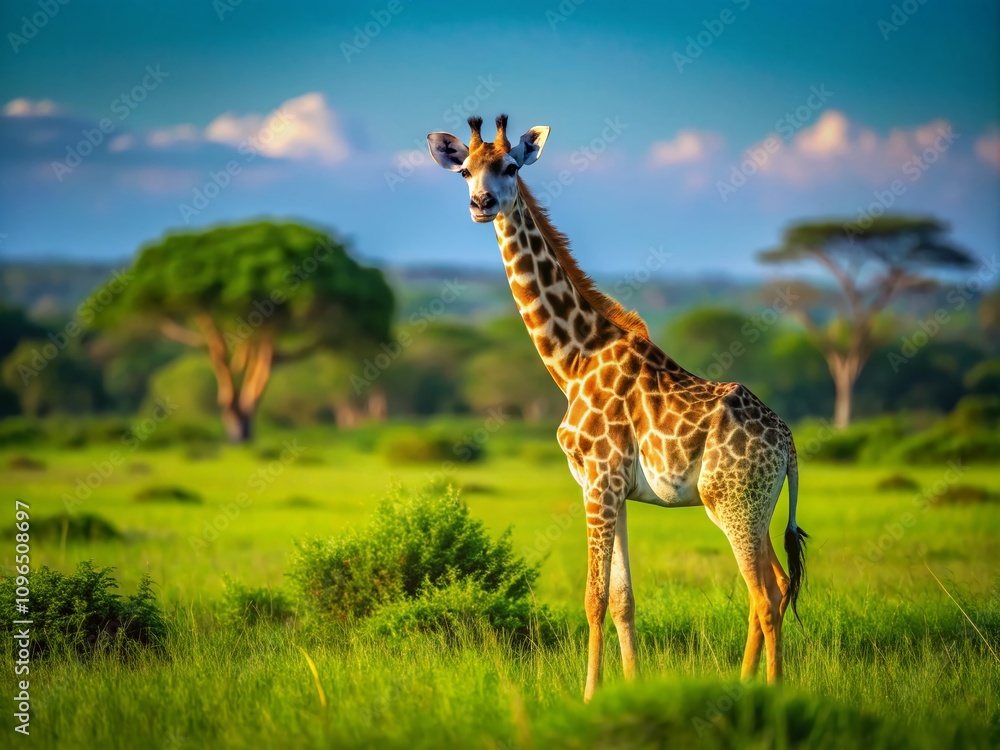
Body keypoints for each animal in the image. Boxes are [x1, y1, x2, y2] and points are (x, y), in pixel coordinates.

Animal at [426, 115, 808, 701]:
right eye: (466, 169)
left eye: (510, 166)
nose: (481, 203)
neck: (573, 358)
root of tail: (789, 446)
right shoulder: (614, 488)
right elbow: (625, 599)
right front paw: (628, 686)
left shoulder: (599, 479)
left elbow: (594, 598)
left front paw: (589, 696)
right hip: (756, 506)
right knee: (776, 586)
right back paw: (744, 685)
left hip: (733, 503)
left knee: (765, 597)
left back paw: (770, 694)